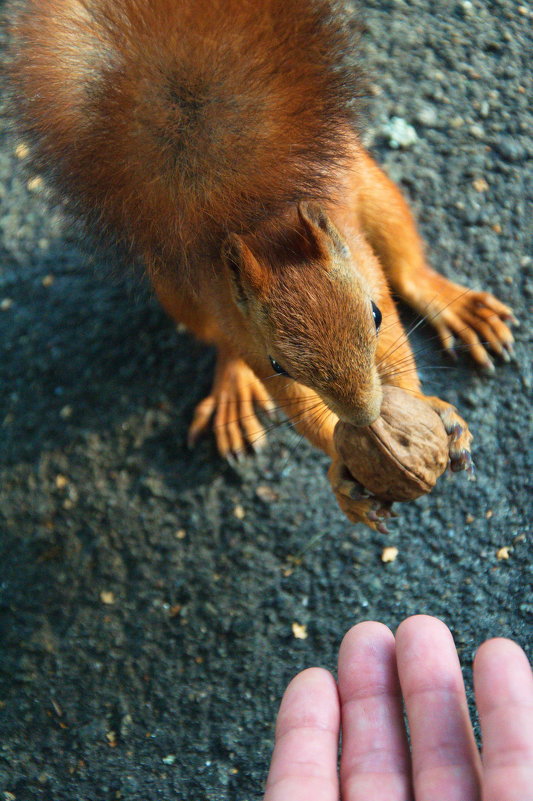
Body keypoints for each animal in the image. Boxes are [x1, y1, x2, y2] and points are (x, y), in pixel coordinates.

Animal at [7, 1, 516, 532]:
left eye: (374, 314)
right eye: (277, 362)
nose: (366, 418)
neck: (265, 233)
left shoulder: (368, 274)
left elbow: (398, 352)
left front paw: (436, 410)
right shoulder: (248, 331)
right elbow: (296, 405)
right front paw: (341, 466)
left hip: (372, 187)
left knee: (406, 262)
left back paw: (455, 306)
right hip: (172, 287)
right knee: (219, 344)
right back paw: (232, 387)